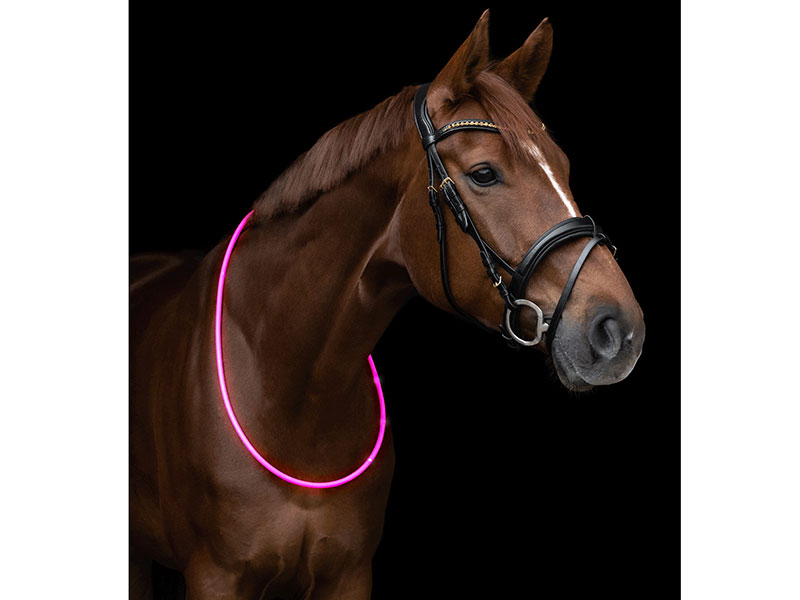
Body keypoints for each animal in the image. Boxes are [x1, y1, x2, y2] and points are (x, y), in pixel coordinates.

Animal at [130, 11, 645, 599]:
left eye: (562, 165)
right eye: (484, 173)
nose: (619, 329)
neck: (291, 393)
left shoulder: (349, 574)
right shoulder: (216, 576)